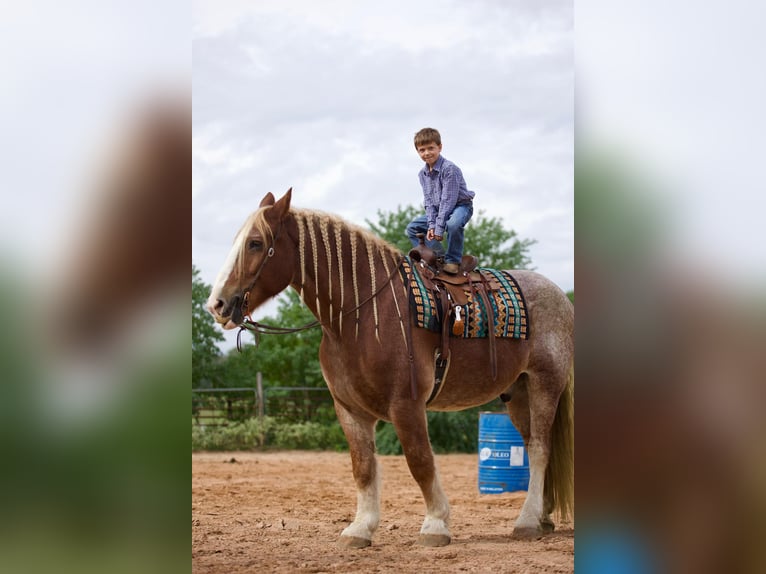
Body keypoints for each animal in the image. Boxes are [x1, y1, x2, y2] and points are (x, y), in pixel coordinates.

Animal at [207, 189, 572, 548]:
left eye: (255, 243)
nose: (217, 304)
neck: (363, 315)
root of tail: (560, 296)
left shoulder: (406, 404)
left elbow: (420, 460)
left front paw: (435, 524)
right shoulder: (350, 410)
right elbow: (363, 466)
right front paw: (360, 528)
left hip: (545, 384)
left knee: (540, 449)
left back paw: (526, 522)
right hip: (518, 393)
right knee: (532, 448)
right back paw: (542, 517)